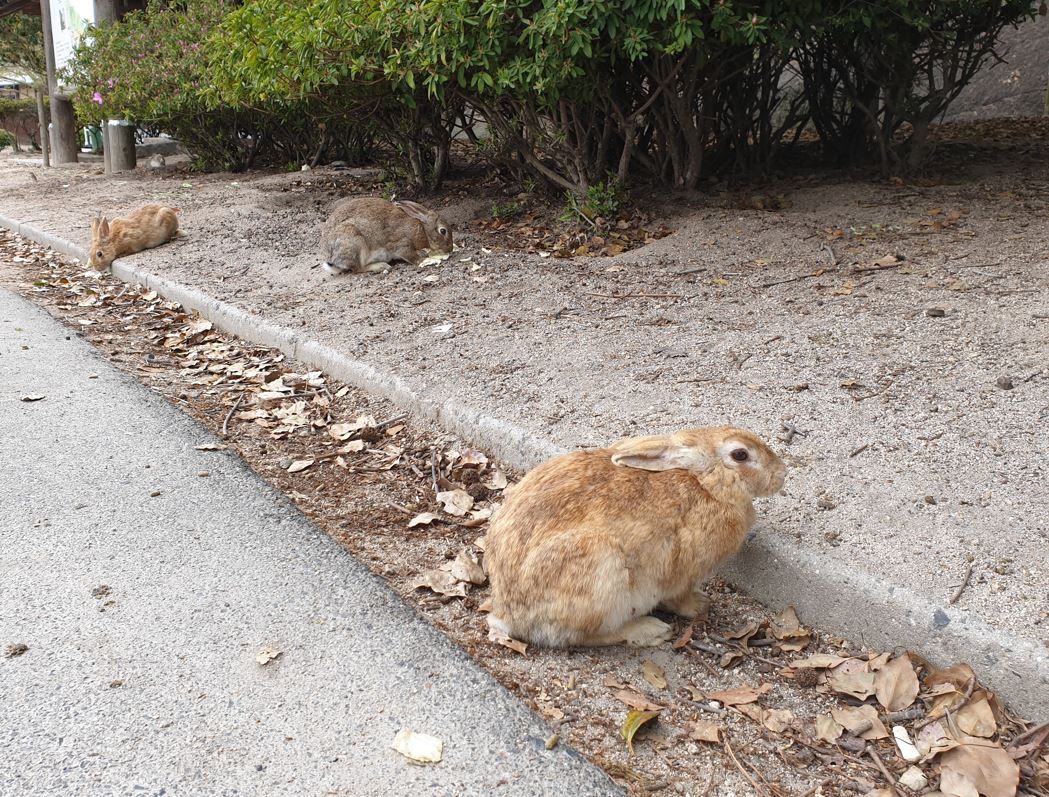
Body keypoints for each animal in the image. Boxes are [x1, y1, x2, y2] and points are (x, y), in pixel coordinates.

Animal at [319, 197, 453, 275]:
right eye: (443, 231)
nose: (450, 249)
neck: (422, 229)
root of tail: (331, 258)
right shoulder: (402, 243)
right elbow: (410, 255)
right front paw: (425, 260)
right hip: (354, 241)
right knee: (357, 268)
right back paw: (381, 266)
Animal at [484, 426, 786, 648]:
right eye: (740, 455)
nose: (781, 474)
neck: (705, 484)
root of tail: (509, 616)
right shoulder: (685, 571)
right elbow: (679, 596)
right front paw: (700, 605)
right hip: (601, 574)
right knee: (582, 636)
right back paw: (649, 630)